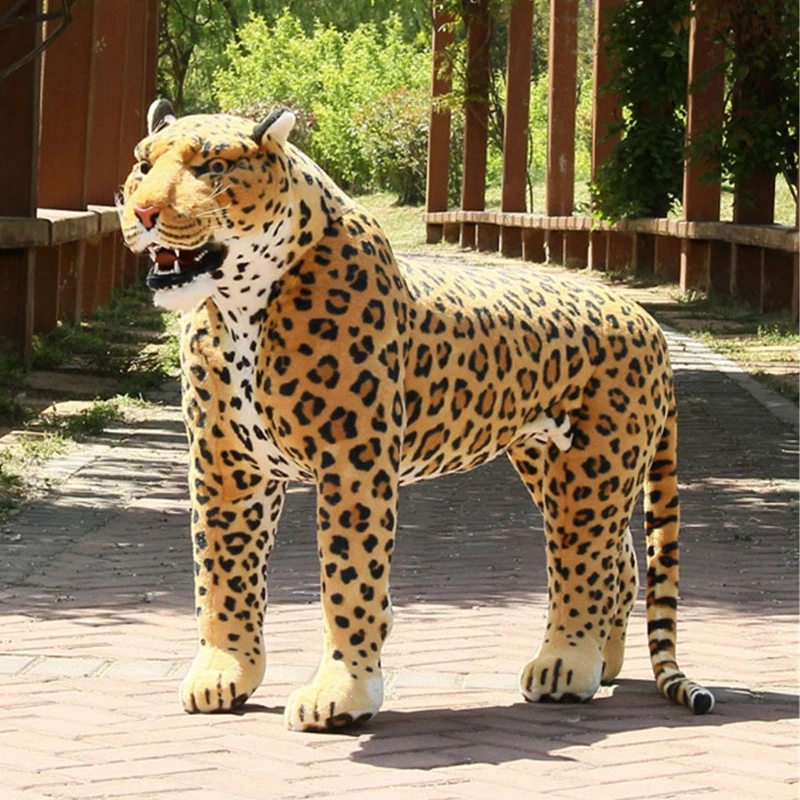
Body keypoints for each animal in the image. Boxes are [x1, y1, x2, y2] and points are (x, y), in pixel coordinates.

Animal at [119, 99, 714, 732]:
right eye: (143, 165)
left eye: (211, 169)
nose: (144, 211)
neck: (239, 308)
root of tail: (646, 319)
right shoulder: (225, 467)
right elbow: (222, 577)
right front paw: (224, 673)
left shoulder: (352, 466)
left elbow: (349, 582)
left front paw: (342, 695)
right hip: (549, 462)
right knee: (620, 558)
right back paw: (606, 662)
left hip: (594, 469)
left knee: (588, 561)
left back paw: (567, 666)